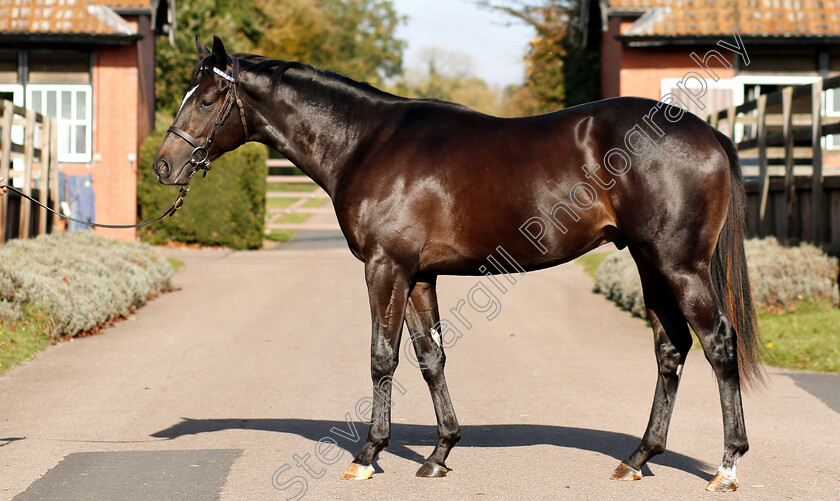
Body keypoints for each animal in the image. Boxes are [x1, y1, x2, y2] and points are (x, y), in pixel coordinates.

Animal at [154, 36, 764, 492]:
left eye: (205, 99)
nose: (163, 166)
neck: (366, 142)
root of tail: (708, 130)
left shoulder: (385, 267)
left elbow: (382, 357)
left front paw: (368, 454)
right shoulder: (419, 275)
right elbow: (431, 358)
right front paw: (440, 452)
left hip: (679, 265)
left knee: (718, 344)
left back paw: (728, 465)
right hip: (648, 262)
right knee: (671, 349)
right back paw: (639, 458)